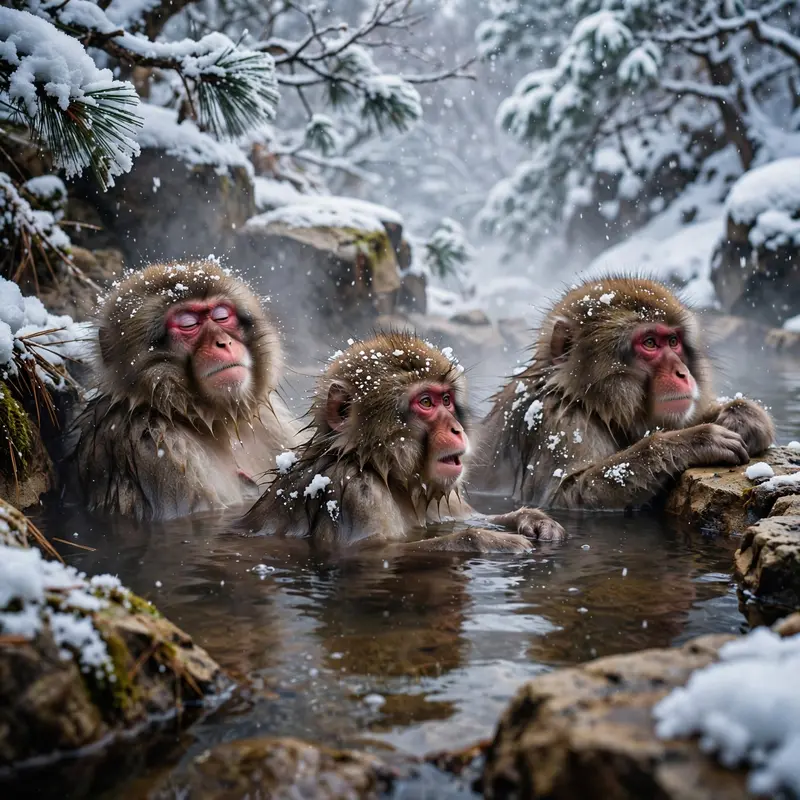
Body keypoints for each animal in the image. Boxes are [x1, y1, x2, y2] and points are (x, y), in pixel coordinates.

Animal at [240, 332, 565, 552]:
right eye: (425, 402)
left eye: (446, 400)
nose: (457, 429)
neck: (380, 470)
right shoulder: (354, 491)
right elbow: (374, 554)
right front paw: (490, 541)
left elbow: (471, 517)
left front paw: (535, 520)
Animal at [475, 276, 774, 510]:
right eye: (650, 343)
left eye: (673, 342)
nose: (682, 373)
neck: (585, 401)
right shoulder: (558, 422)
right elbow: (567, 495)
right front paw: (694, 440)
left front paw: (742, 416)